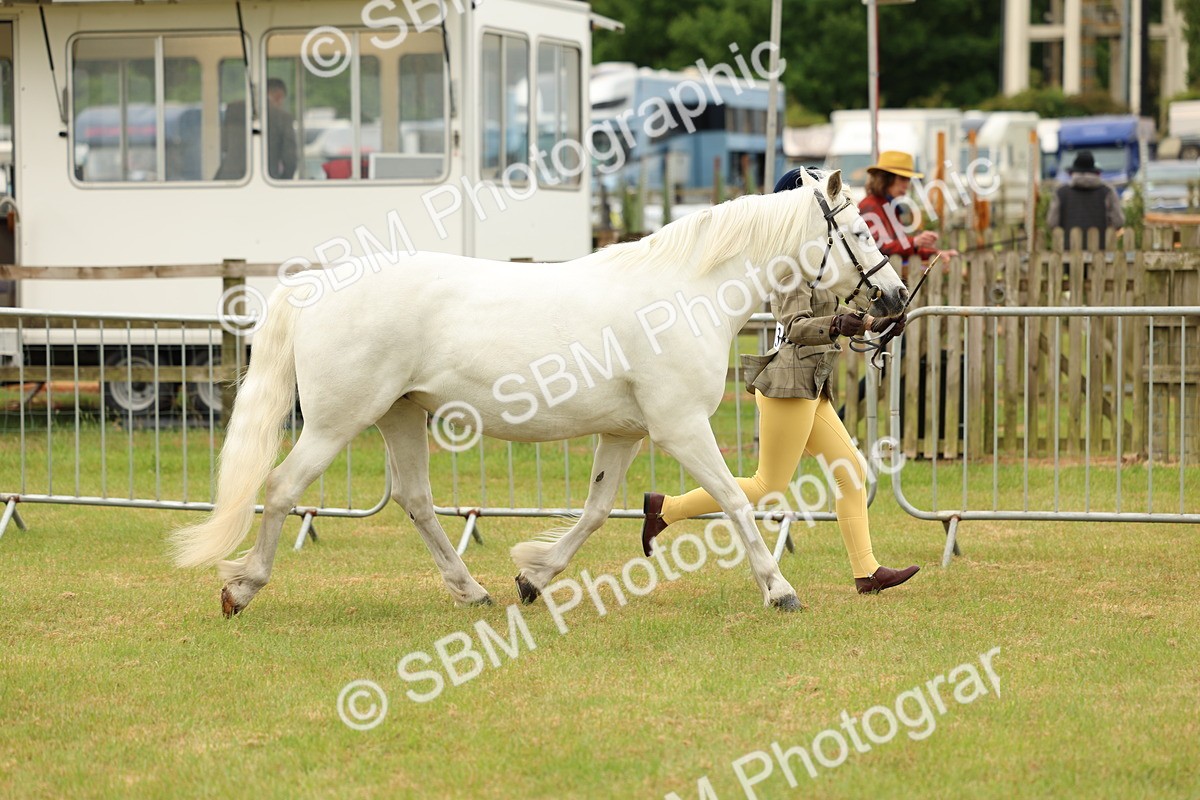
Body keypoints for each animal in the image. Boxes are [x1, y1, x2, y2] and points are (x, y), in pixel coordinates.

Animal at [171, 168, 907, 616]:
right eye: (861, 230)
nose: (896, 299)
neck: (684, 295)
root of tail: (316, 284)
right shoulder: (681, 428)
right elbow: (733, 499)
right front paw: (779, 591)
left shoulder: (626, 432)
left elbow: (597, 509)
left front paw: (533, 574)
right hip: (334, 423)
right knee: (281, 489)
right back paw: (242, 588)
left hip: (400, 416)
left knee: (415, 499)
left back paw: (471, 591)